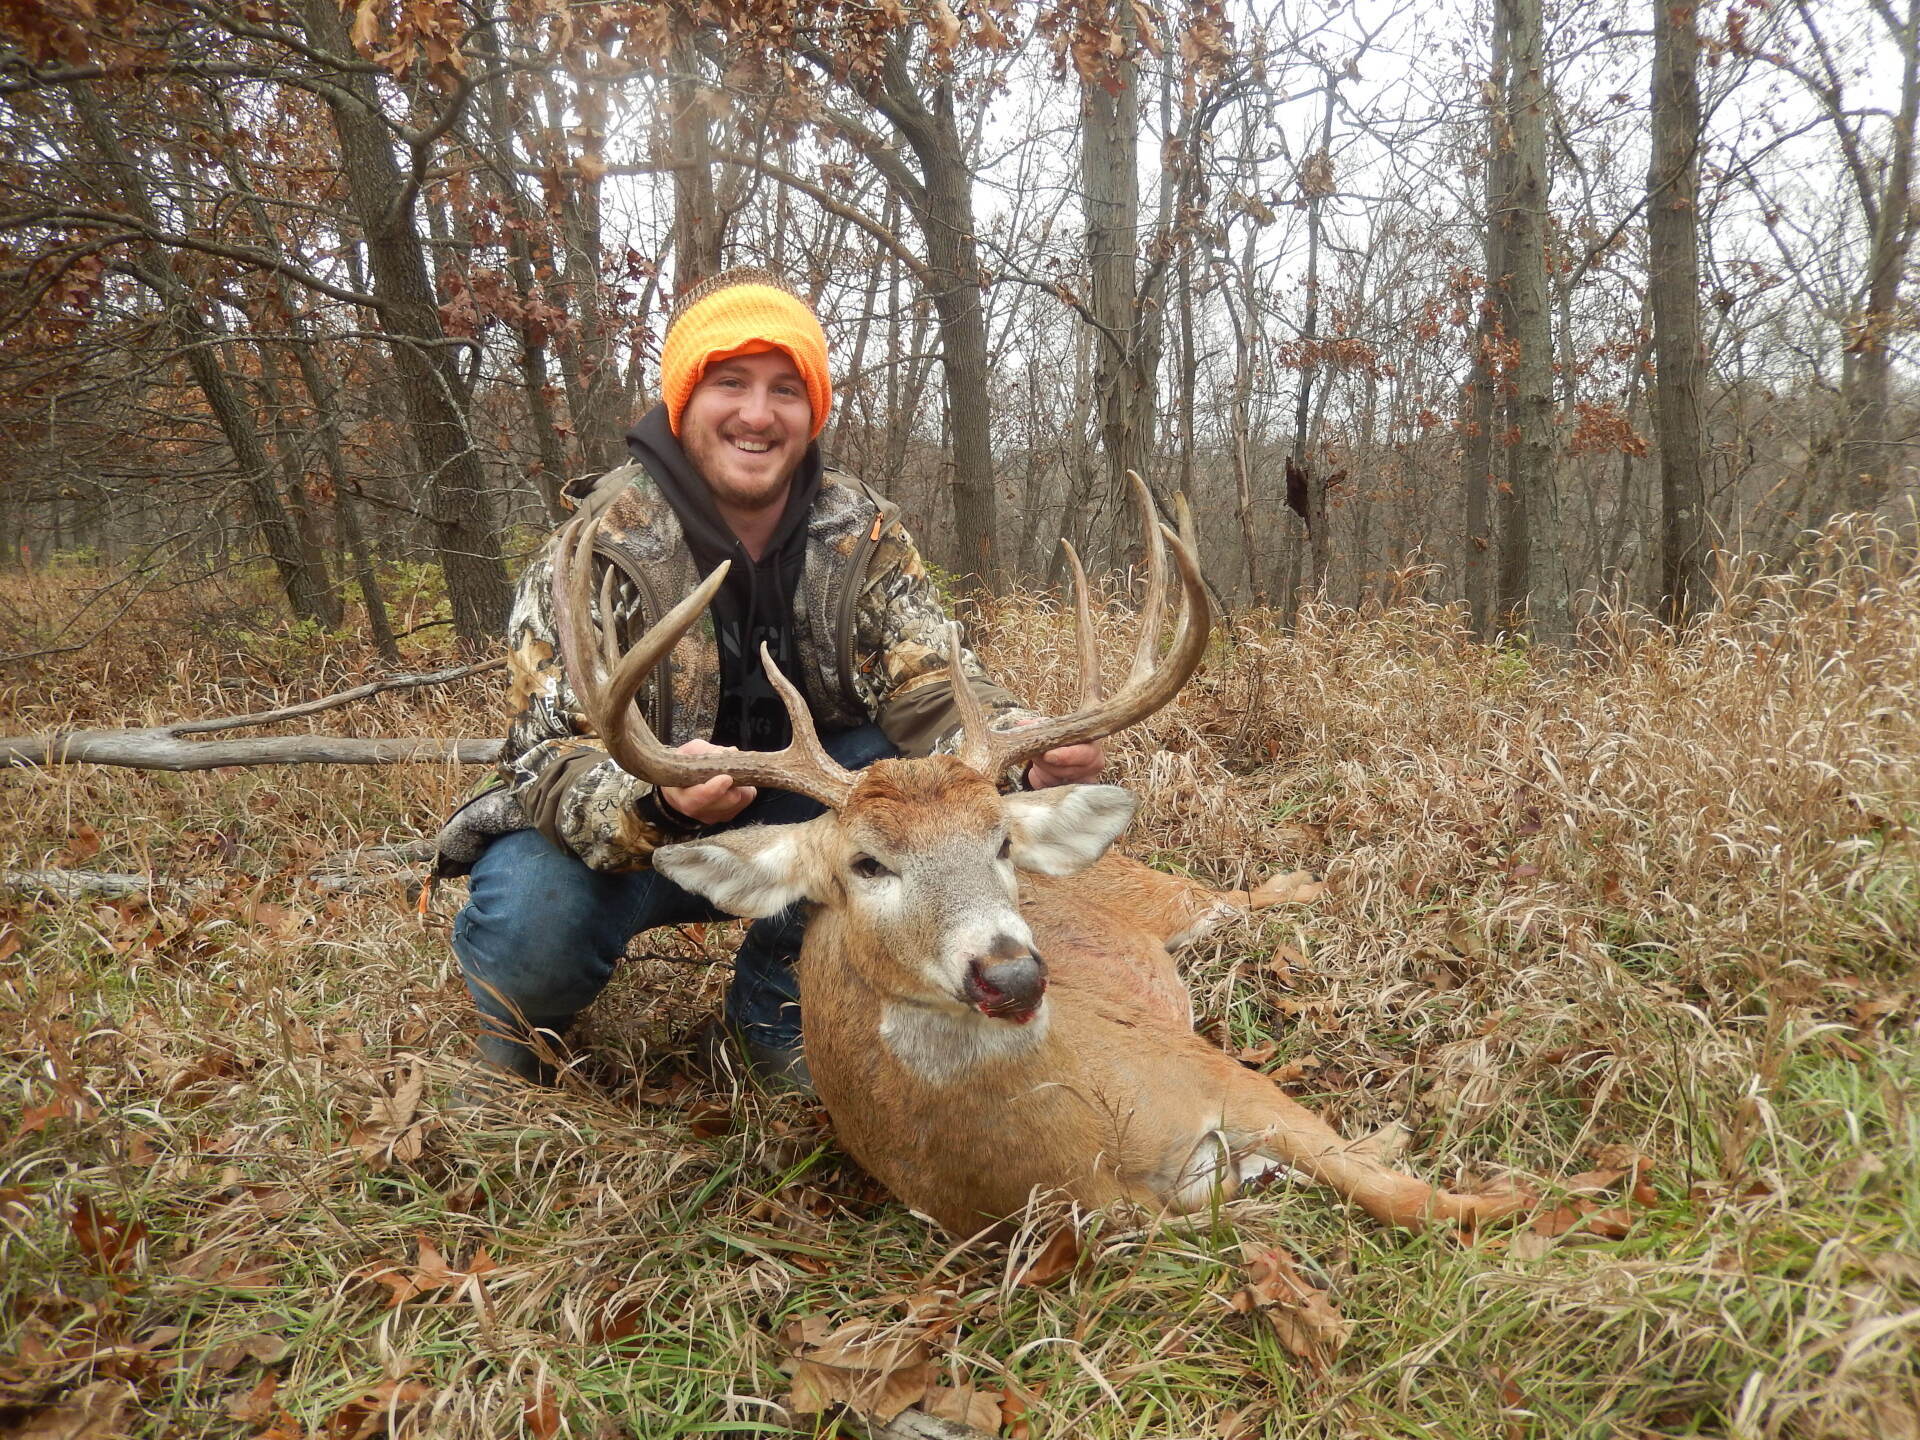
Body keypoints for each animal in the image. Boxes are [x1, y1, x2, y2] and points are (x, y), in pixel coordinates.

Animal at [550, 482, 1530, 1240]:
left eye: (1000, 842)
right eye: (867, 864)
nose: (1013, 973)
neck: (1081, 1146)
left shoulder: (1224, 1076)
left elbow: (1406, 1198)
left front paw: (1526, 1199)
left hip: (1169, 903)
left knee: (1244, 895)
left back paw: (1316, 888)